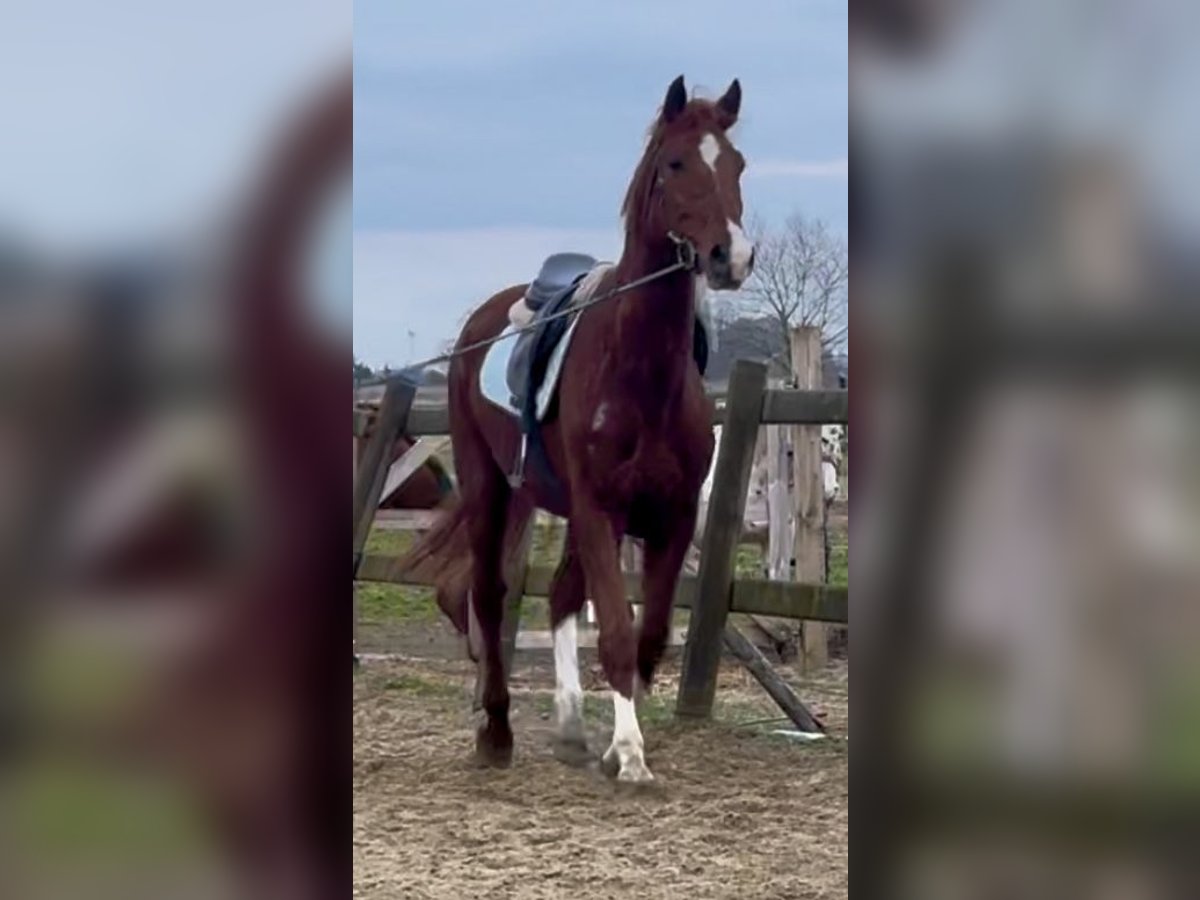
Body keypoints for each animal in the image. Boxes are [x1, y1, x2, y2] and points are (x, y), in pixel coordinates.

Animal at [408, 77, 753, 782]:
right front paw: (632, 756)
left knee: (562, 595)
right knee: (488, 594)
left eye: (736, 164)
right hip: (491, 487)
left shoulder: (670, 516)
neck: (640, 373)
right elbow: (616, 631)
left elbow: (648, 635)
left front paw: (617, 741)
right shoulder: (599, 510)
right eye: (675, 163)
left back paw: (568, 727)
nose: (731, 256)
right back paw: (497, 731)